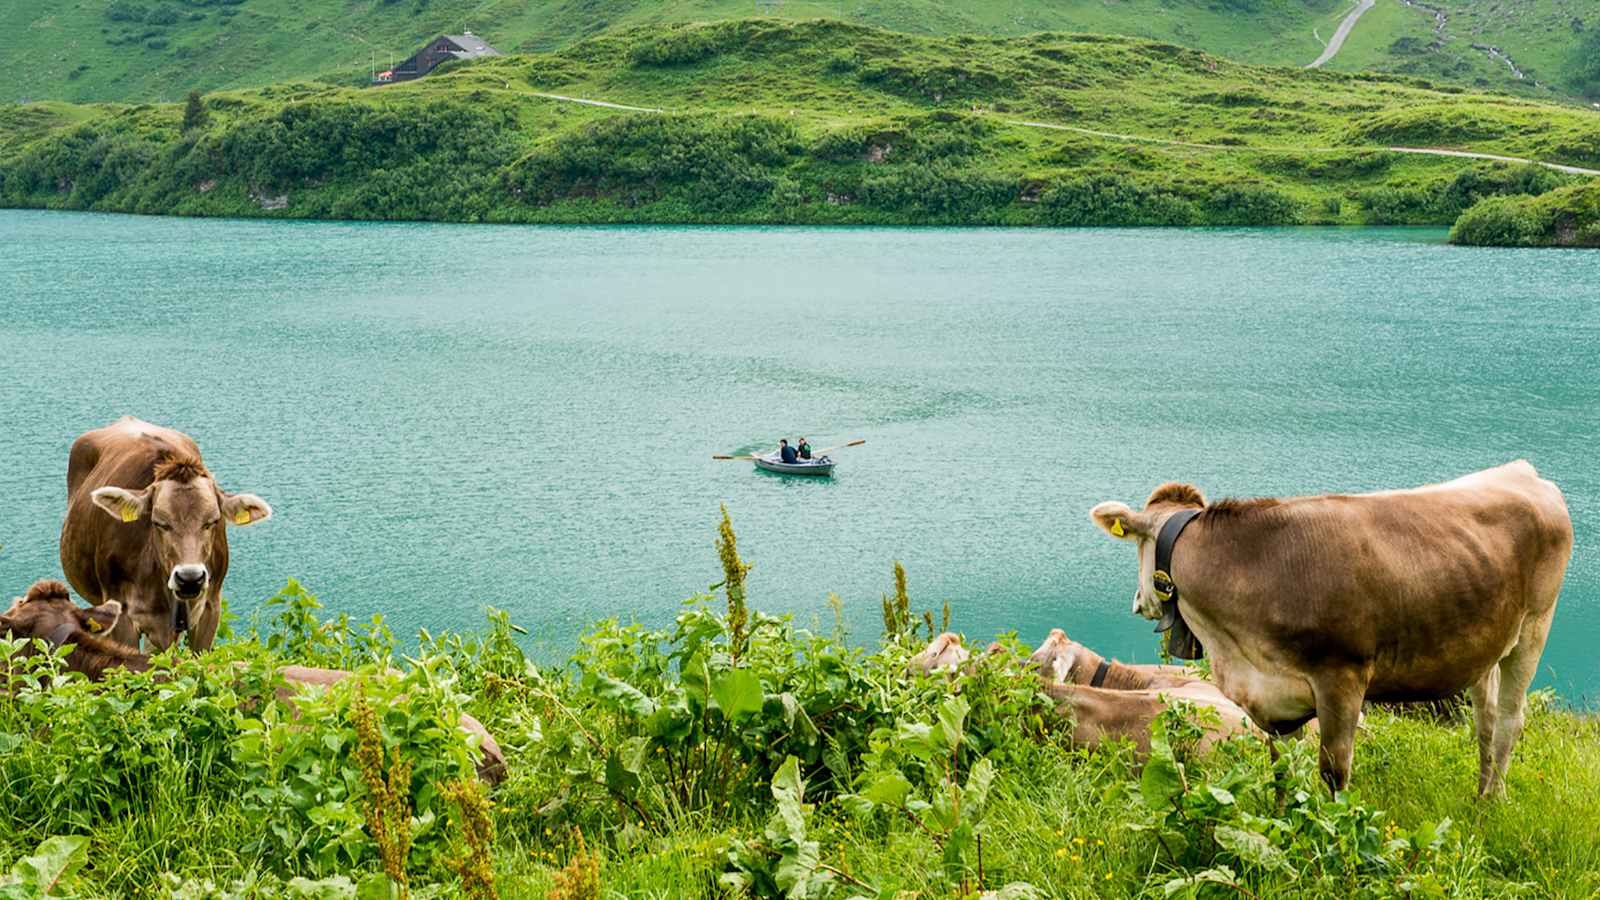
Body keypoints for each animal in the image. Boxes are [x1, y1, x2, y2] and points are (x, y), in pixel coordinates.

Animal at [1088, 461, 1574, 791]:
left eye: (1138, 548)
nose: (1137, 601)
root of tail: (1522, 472)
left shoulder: (1342, 679)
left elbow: (1333, 775)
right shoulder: (1273, 698)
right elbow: (1281, 773)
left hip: (1535, 628)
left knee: (1510, 721)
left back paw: (1491, 803)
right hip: (1485, 643)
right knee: (1485, 723)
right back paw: (1480, 795)